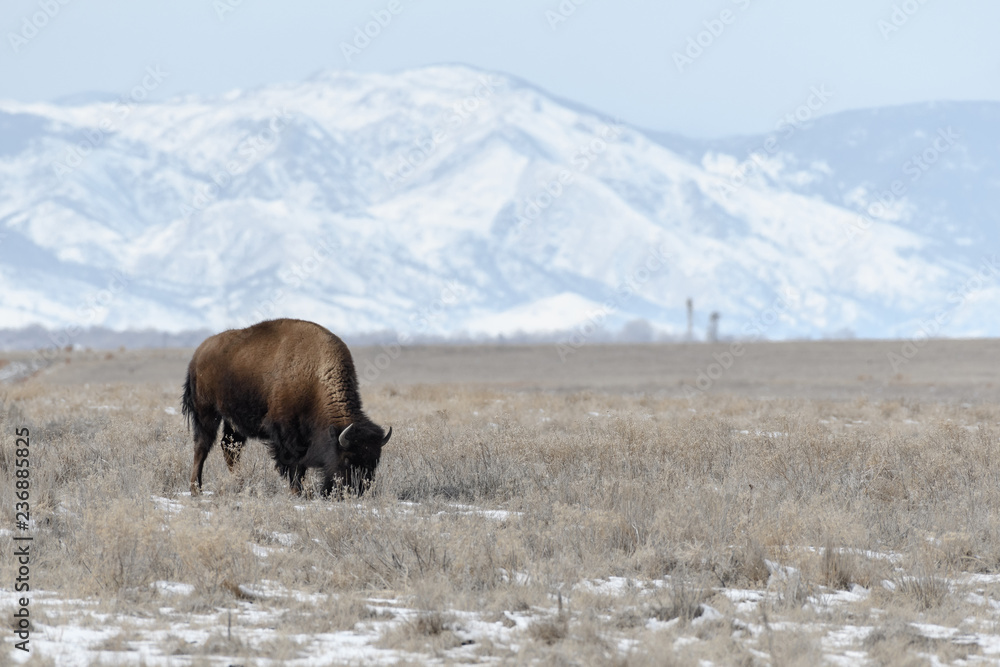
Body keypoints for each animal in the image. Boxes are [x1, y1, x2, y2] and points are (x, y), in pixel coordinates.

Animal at [181, 318, 392, 496]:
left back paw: (240, 486)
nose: (357, 491)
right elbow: (294, 464)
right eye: (347, 458)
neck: (315, 377)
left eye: (375, 461)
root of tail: (198, 355)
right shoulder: (286, 432)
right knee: (202, 447)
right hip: (207, 413)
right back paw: (196, 489)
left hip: (233, 421)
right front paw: (298, 492)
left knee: (230, 449)